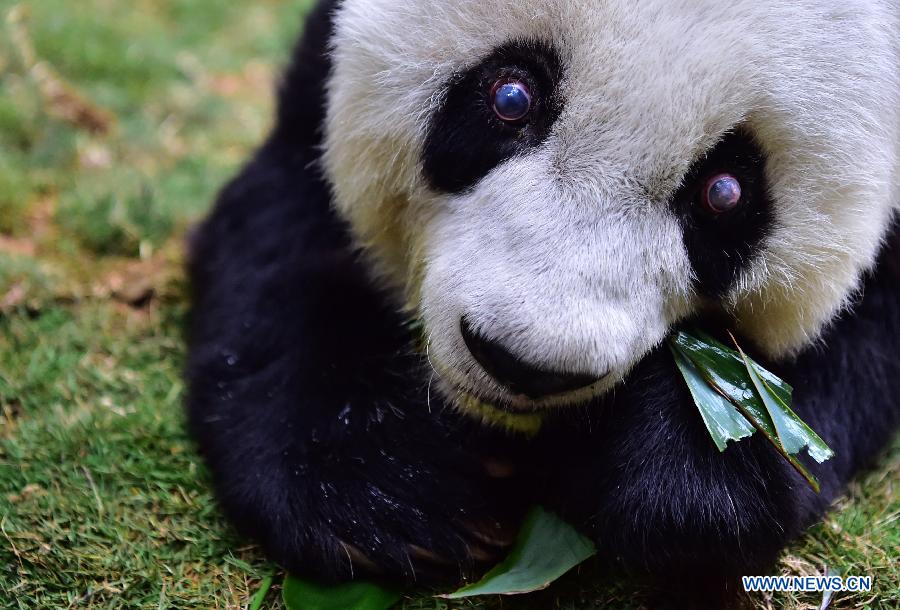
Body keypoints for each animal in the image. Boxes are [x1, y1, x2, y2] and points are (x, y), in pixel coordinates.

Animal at [185, 0, 900, 600]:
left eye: (724, 192)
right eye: (511, 96)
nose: (521, 363)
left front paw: (687, 478)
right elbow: (282, 238)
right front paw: (385, 490)